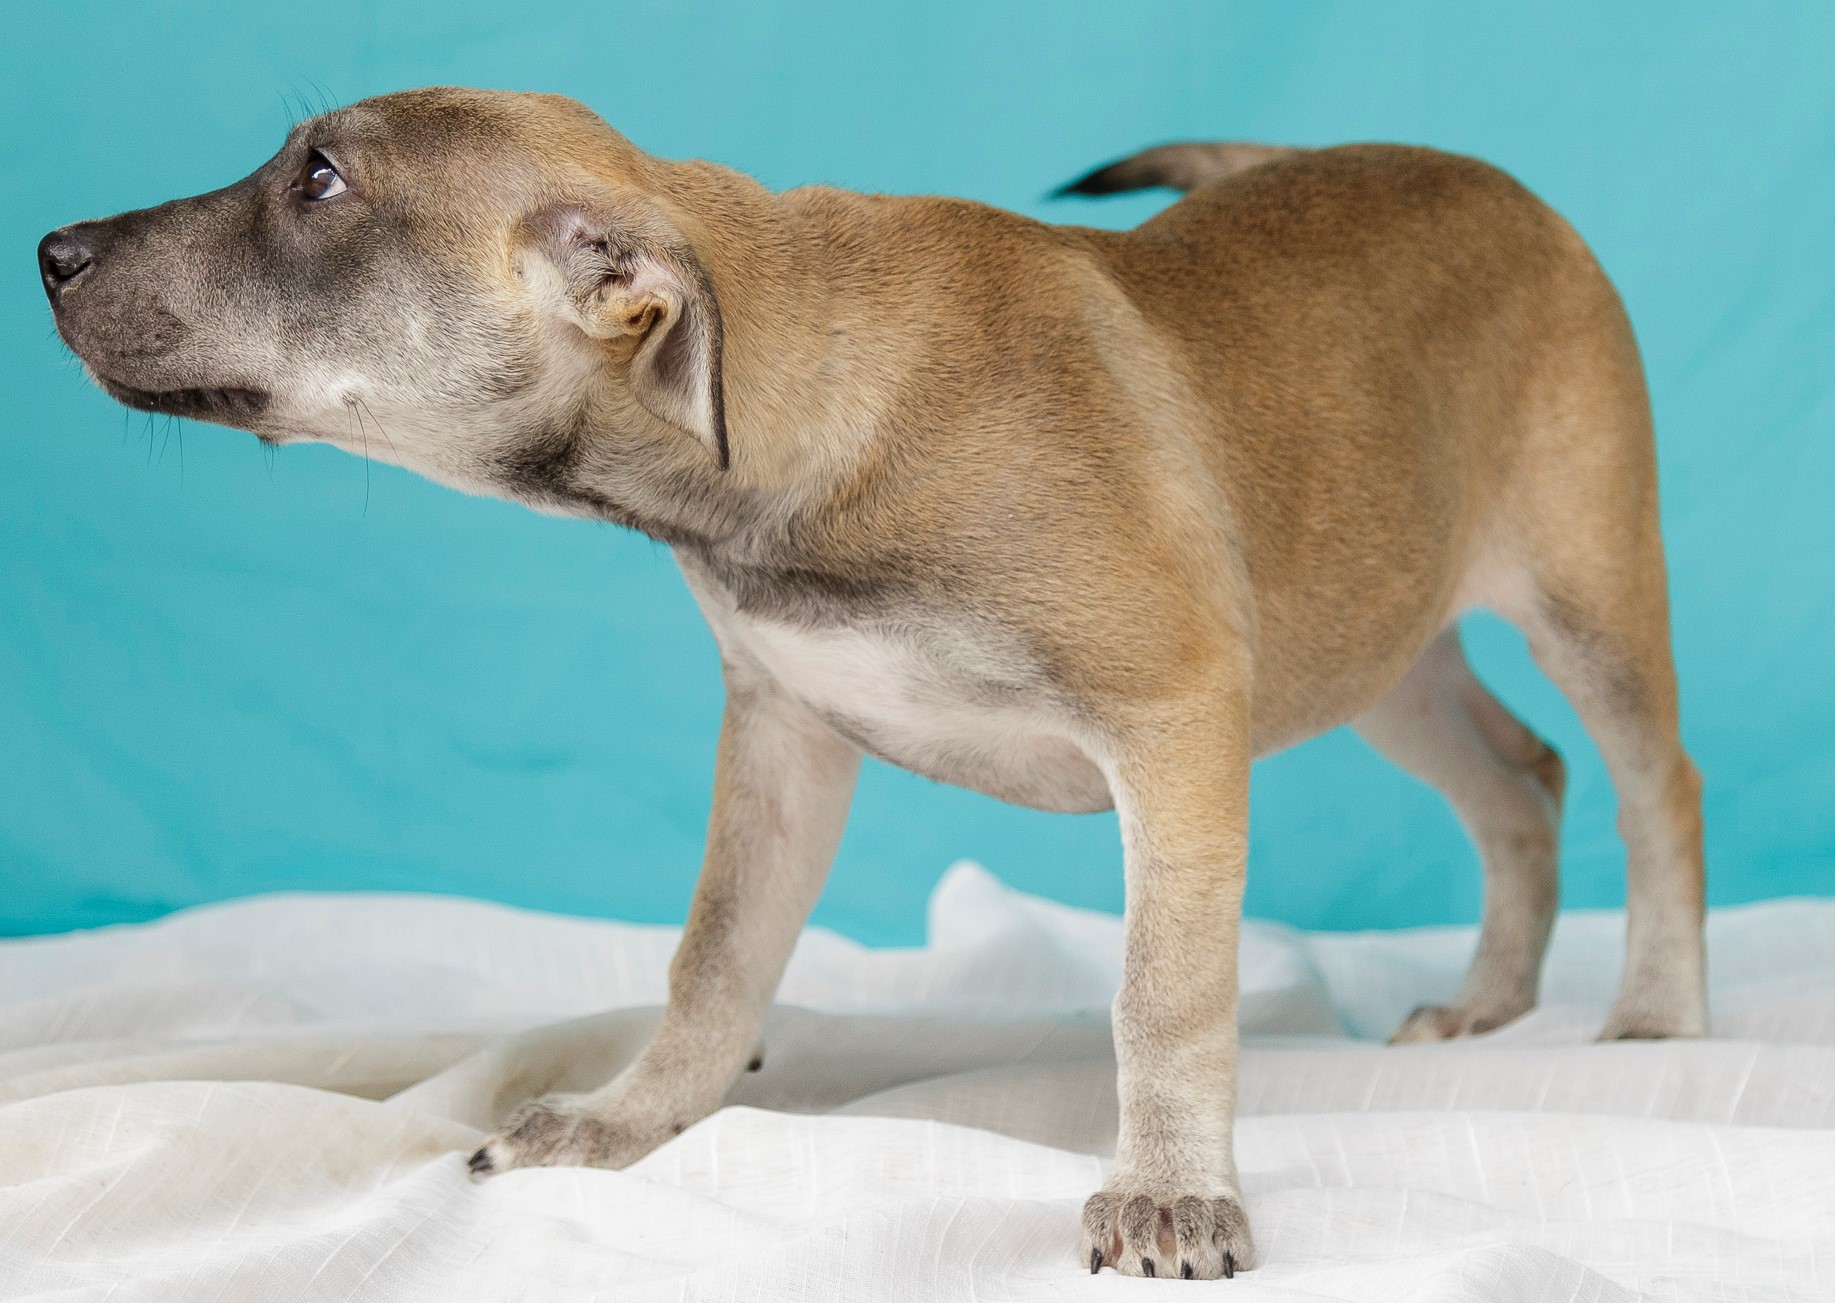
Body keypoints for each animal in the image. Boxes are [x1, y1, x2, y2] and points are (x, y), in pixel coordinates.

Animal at [39, 86, 1702, 1284]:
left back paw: (1652, 1015)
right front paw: (635, 1116)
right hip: (1374, 638)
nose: (52, 252)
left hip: (1582, 592)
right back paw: (1490, 999)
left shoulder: (1168, 725)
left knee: (1647, 780)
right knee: (1516, 777)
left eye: (320, 180)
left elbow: (1161, 988)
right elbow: (715, 952)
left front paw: (1168, 1185)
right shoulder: (780, 735)